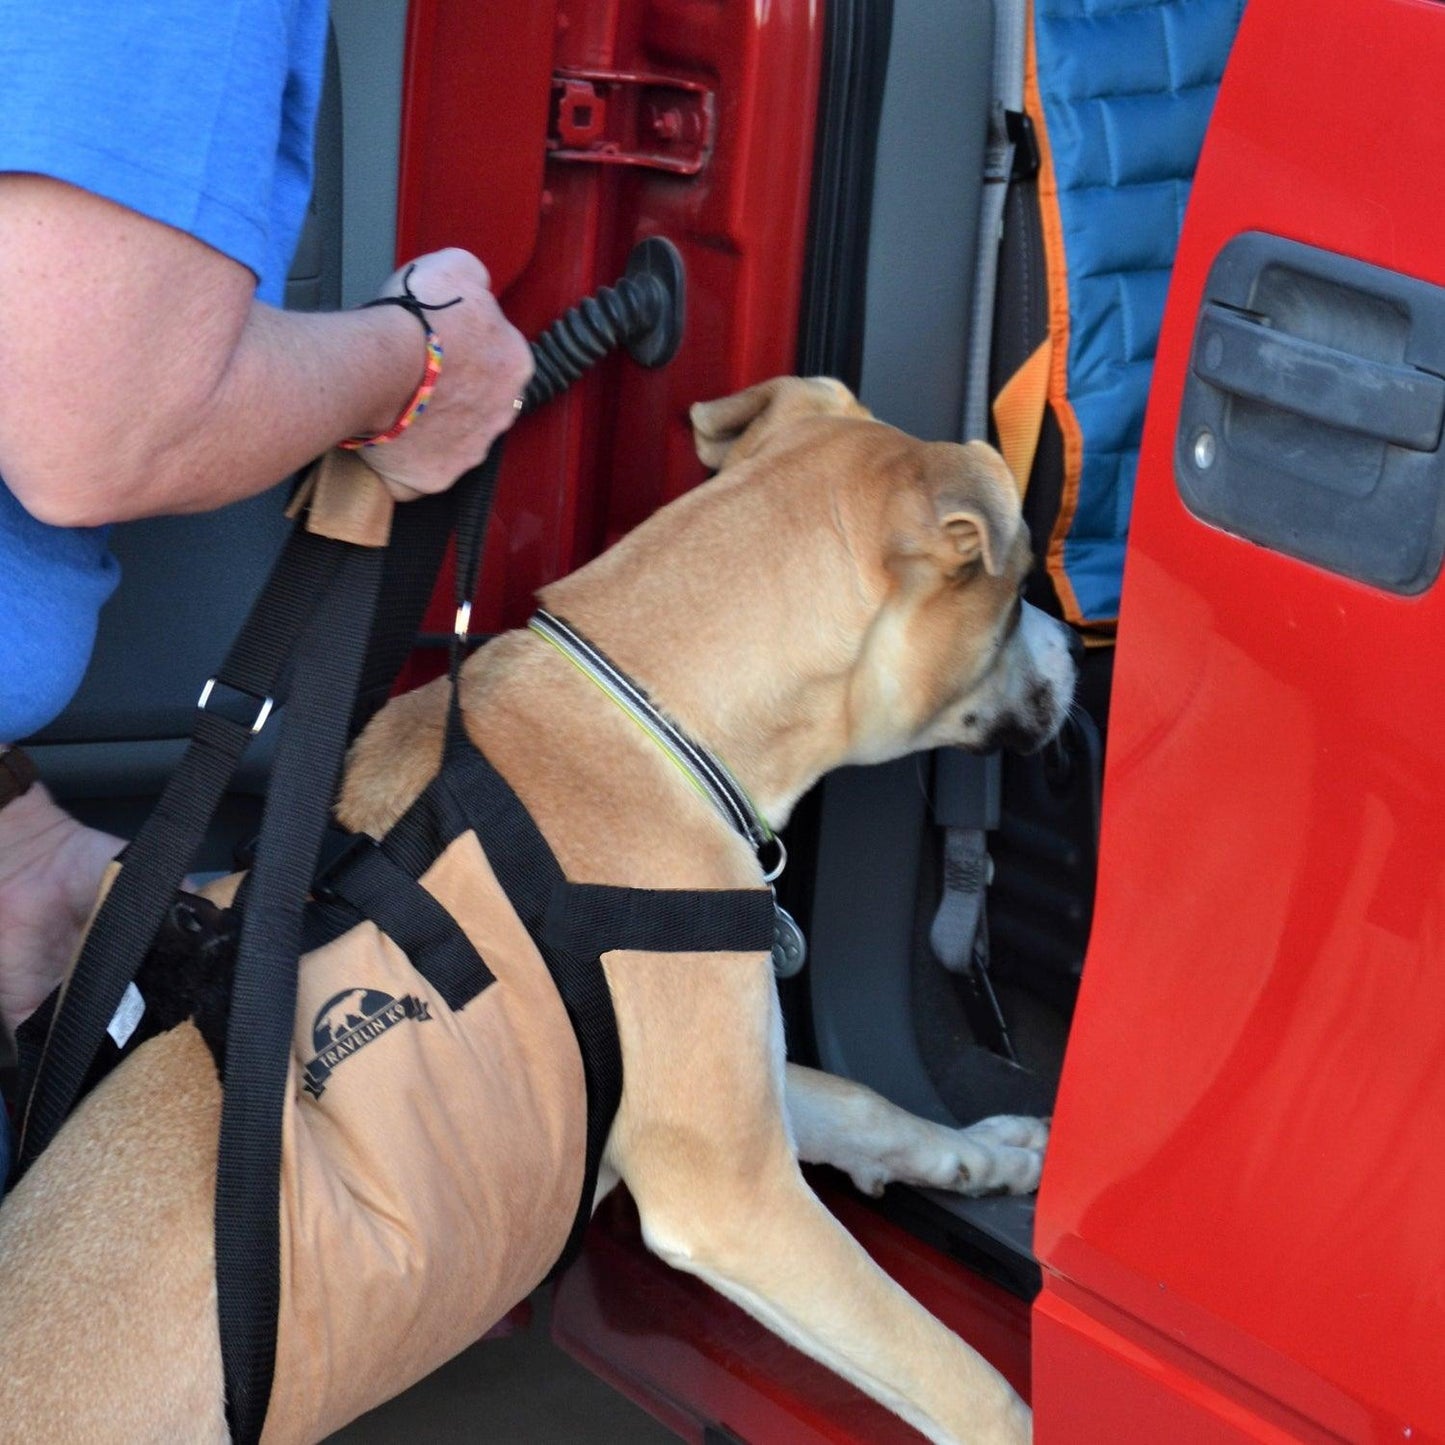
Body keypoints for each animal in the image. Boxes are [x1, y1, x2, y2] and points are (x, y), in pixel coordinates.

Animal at [0, 378, 1075, 1439]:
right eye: (1020, 588)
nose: (1074, 639)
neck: (655, 710)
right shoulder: (732, 1196)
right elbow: (956, 1372)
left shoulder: (730, 1096)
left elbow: (865, 1106)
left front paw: (991, 1155)